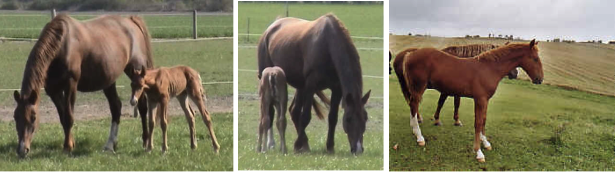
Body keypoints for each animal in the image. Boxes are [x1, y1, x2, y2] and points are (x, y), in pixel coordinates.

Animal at [12, 14, 153, 158]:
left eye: (33, 117)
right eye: (15, 116)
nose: (22, 150)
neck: (62, 45)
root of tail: (130, 20)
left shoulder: (71, 84)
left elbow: (68, 116)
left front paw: (67, 147)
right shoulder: (53, 90)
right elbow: (62, 117)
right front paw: (71, 142)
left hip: (135, 72)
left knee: (142, 106)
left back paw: (145, 142)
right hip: (108, 81)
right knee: (116, 107)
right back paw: (110, 145)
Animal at [256, 12, 370, 154]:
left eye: (365, 117)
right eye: (348, 118)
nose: (358, 149)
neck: (328, 44)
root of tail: (271, 28)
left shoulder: (336, 89)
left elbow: (333, 118)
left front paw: (329, 146)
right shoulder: (311, 85)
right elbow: (306, 116)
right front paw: (297, 144)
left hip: (299, 86)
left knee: (294, 110)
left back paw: (304, 143)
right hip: (269, 81)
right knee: (271, 112)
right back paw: (272, 143)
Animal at [402, 39, 548, 162]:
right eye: (535, 59)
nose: (539, 79)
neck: (489, 68)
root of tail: (410, 54)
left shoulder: (486, 100)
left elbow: (483, 120)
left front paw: (486, 143)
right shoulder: (480, 100)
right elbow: (478, 123)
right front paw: (478, 152)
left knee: (412, 105)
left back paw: (414, 130)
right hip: (419, 87)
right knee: (414, 105)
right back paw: (419, 137)